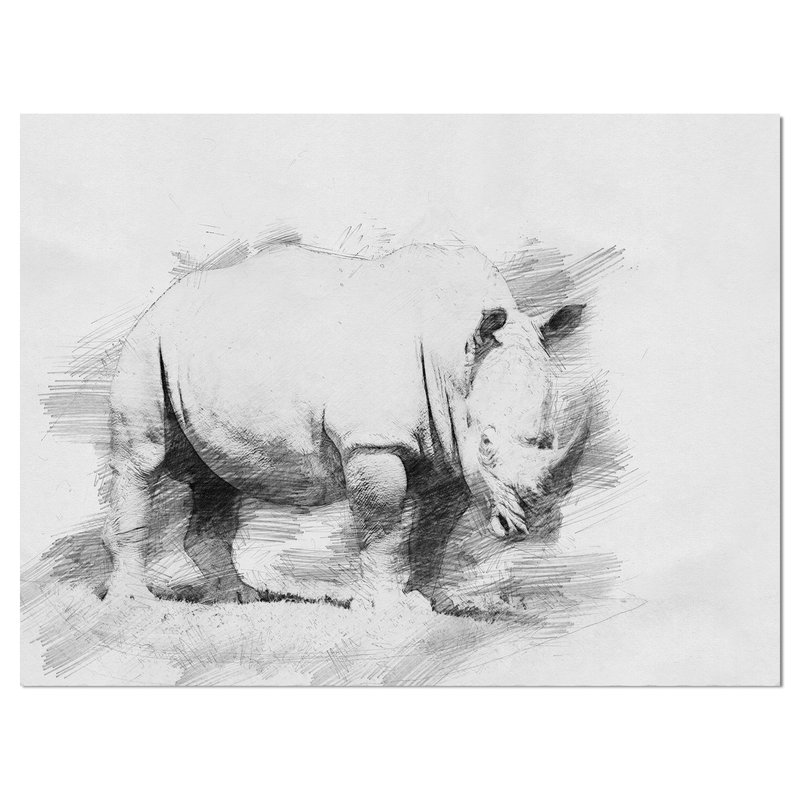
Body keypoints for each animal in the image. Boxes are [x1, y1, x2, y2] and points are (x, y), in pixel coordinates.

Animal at [102, 243, 589, 610]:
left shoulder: (449, 449)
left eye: (550, 440)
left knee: (215, 478)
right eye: (486, 441)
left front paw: (430, 603)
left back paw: (239, 597)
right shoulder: (373, 442)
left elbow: (434, 532)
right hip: (147, 339)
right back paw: (132, 603)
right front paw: (388, 609)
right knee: (141, 459)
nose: (536, 523)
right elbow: (383, 525)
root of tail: (166, 297)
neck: (454, 355)